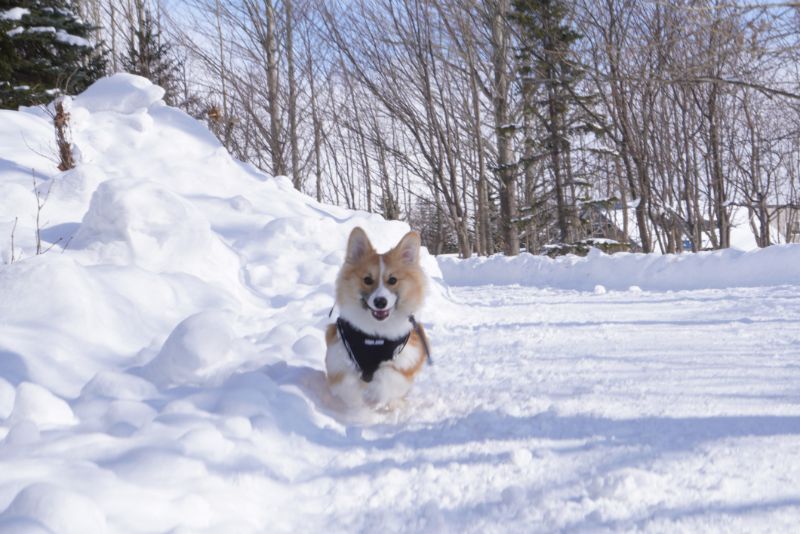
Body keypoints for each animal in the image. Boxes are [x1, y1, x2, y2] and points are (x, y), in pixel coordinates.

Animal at [324, 227, 428, 410]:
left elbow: (388, 375)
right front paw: (358, 399)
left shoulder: (407, 357)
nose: (380, 302)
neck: (375, 335)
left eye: (393, 280)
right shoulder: (338, 354)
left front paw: (373, 396)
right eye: (367, 280)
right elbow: (347, 382)